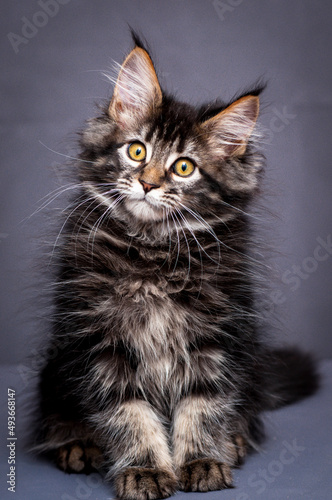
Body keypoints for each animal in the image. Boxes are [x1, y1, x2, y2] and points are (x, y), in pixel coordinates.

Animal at [34, 35, 320, 500]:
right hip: (53, 370)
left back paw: (233, 441)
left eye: (184, 167)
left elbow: (203, 404)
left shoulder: (217, 336)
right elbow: (129, 413)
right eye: (137, 151)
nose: (148, 183)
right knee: (53, 418)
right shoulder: (99, 340)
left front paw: (202, 460)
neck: (153, 252)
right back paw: (78, 444)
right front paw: (145, 469)